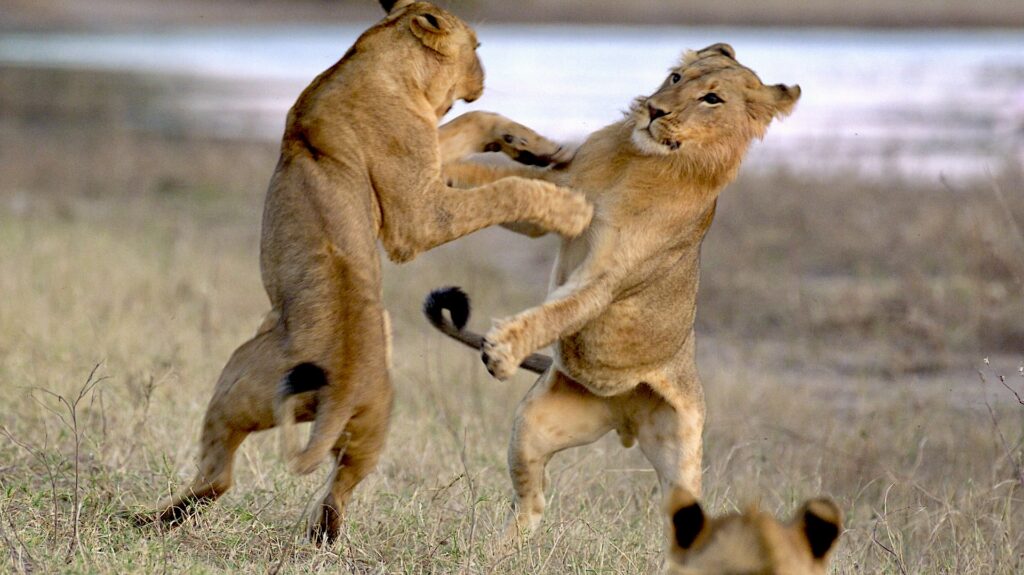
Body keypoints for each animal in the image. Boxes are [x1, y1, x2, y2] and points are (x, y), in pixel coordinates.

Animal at [134, 0, 592, 543]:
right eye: (477, 46)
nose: (486, 71)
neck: (380, 58)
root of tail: (343, 390)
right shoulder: (417, 215)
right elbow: (503, 188)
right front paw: (570, 205)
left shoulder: (425, 172)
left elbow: (475, 124)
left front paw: (537, 148)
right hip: (246, 388)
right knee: (226, 481)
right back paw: (149, 519)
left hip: (329, 421)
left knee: (281, 491)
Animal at [424, 43, 800, 536]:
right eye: (676, 78)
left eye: (712, 99)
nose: (656, 110)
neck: (641, 161)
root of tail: (625, 420)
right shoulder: (560, 193)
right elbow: (498, 183)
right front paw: (445, 169)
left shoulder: (608, 278)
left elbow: (559, 312)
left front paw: (502, 351)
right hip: (531, 427)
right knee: (533, 503)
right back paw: (499, 547)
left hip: (682, 457)